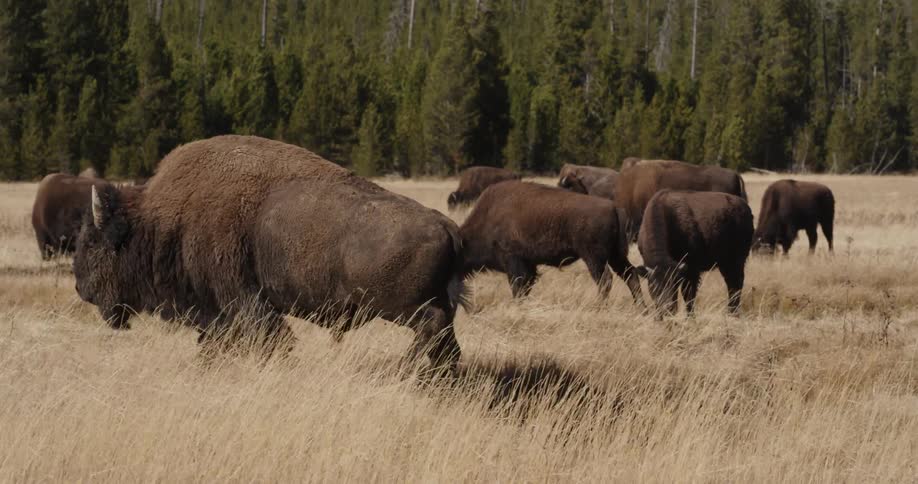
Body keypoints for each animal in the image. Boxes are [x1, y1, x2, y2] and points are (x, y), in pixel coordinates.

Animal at [73, 135, 466, 370]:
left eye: (93, 243)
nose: (81, 287)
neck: (162, 219)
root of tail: (446, 226)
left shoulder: (241, 303)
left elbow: (267, 338)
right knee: (447, 341)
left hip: (399, 306)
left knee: (432, 328)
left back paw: (405, 368)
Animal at [459, 181, 644, 303]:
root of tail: (614, 207)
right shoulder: (528, 265)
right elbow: (525, 287)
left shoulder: (514, 262)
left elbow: (518, 287)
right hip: (615, 256)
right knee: (630, 275)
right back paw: (642, 309)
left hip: (594, 257)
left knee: (605, 280)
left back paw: (599, 307)